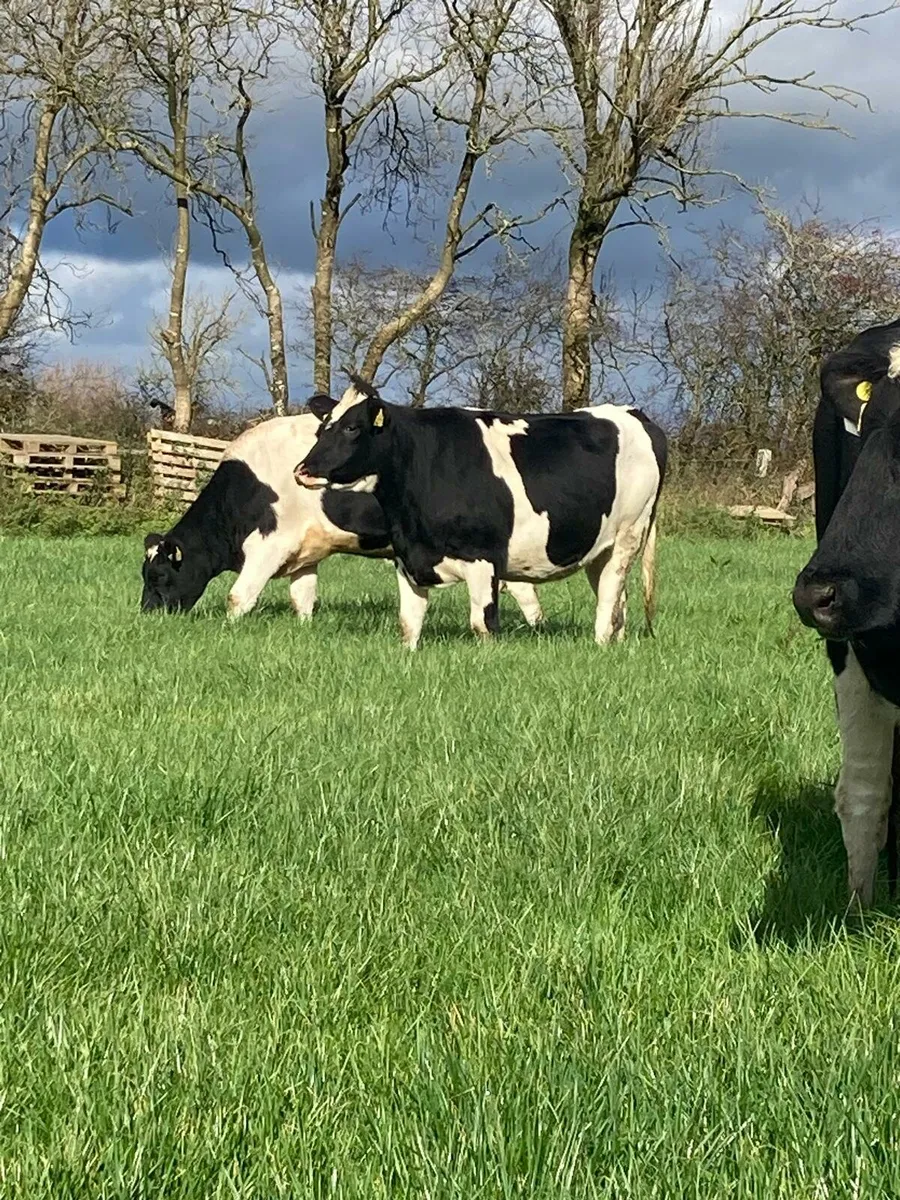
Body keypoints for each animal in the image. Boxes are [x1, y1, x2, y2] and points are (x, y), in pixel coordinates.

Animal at [141, 412, 544, 627]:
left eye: (159, 576)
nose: (148, 614)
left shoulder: (270, 543)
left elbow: (239, 596)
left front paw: (229, 629)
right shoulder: (305, 552)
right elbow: (303, 599)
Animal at [294, 377, 667, 650]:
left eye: (352, 428)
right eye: (323, 428)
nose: (303, 470)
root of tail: (635, 413)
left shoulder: (483, 559)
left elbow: (483, 625)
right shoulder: (406, 559)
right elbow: (408, 623)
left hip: (628, 535)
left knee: (609, 595)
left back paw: (601, 643)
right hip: (599, 548)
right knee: (618, 599)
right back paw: (617, 642)